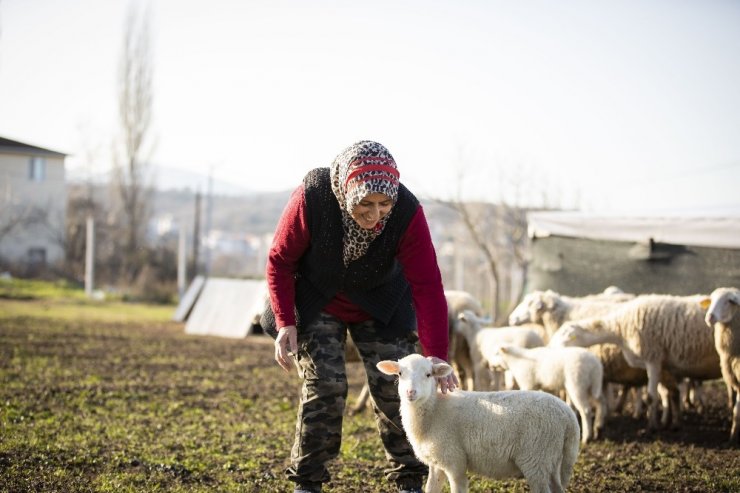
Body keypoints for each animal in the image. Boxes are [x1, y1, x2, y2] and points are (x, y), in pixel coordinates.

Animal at [378, 354, 580, 492]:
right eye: (400, 373)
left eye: (428, 375)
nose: (410, 392)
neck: (434, 411)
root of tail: (568, 415)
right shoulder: (436, 462)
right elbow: (431, 489)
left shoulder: (454, 461)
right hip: (552, 459)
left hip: (536, 457)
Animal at [556, 296, 724, 430]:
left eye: (565, 335)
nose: (553, 349)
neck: (619, 328)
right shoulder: (663, 365)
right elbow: (670, 394)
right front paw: (672, 422)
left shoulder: (653, 359)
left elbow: (651, 397)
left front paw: (652, 426)